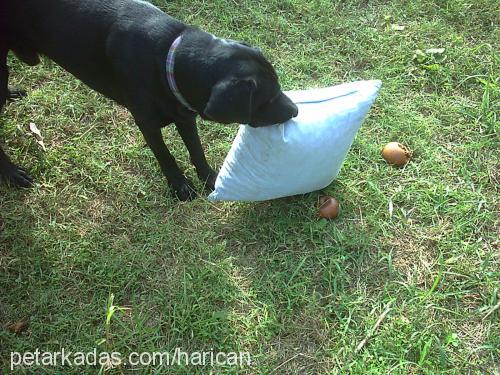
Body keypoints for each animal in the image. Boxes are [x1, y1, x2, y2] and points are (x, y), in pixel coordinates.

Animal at [0, 0, 296, 201]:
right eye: (268, 98)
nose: (294, 110)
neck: (167, 56)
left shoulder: (184, 112)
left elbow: (196, 150)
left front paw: (211, 178)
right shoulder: (147, 123)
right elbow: (166, 156)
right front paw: (180, 186)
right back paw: (12, 173)